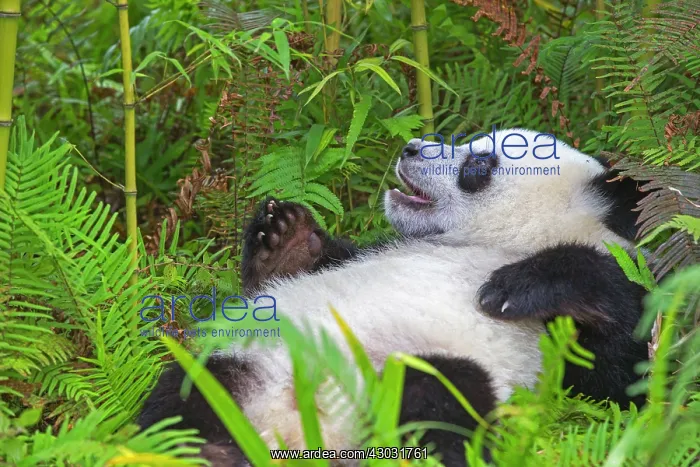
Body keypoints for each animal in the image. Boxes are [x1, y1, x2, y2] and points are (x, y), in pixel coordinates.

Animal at [138, 129, 649, 466]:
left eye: (477, 167)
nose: (411, 148)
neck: (488, 245)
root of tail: (299, 428)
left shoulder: (562, 341)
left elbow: (625, 371)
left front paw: (513, 287)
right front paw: (285, 238)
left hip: (425, 369)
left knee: (437, 404)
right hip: (249, 361)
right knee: (184, 399)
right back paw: (207, 453)